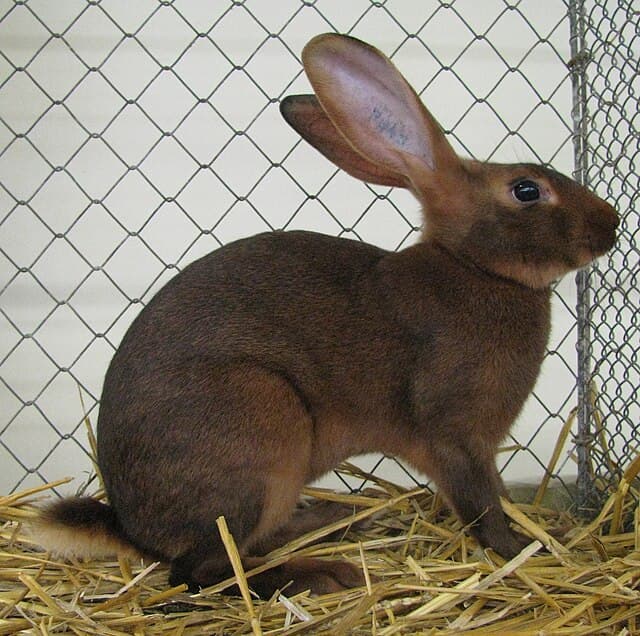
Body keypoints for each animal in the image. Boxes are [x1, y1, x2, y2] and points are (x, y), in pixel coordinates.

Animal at [32, 33, 618, 597]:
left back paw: (337, 520)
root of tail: (132, 526)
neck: (474, 266)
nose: (610, 225)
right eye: (526, 189)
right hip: (259, 432)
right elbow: (482, 506)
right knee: (202, 570)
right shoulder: (456, 435)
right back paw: (322, 574)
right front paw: (524, 548)